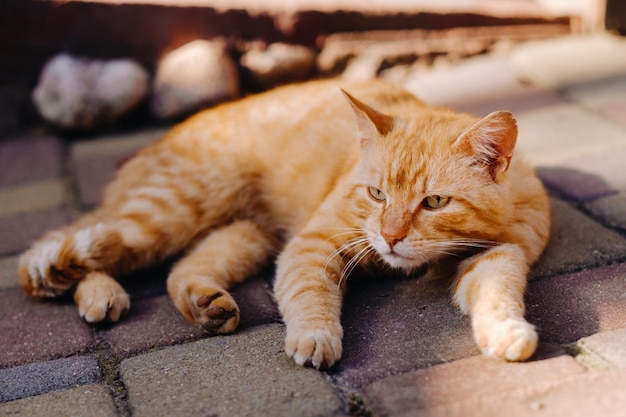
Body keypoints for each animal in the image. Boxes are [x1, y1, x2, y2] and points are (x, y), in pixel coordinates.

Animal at [17, 78, 548, 368]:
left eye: (434, 202)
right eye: (376, 193)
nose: (391, 237)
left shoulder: (500, 253)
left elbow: (498, 291)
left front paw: (506, 331)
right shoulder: (312, 244)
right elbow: (309, 296)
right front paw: (315, 337)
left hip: (243, 236)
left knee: (181, 269)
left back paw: (204, 305)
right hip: (167, 214)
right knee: (68, 249)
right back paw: (95, 291)